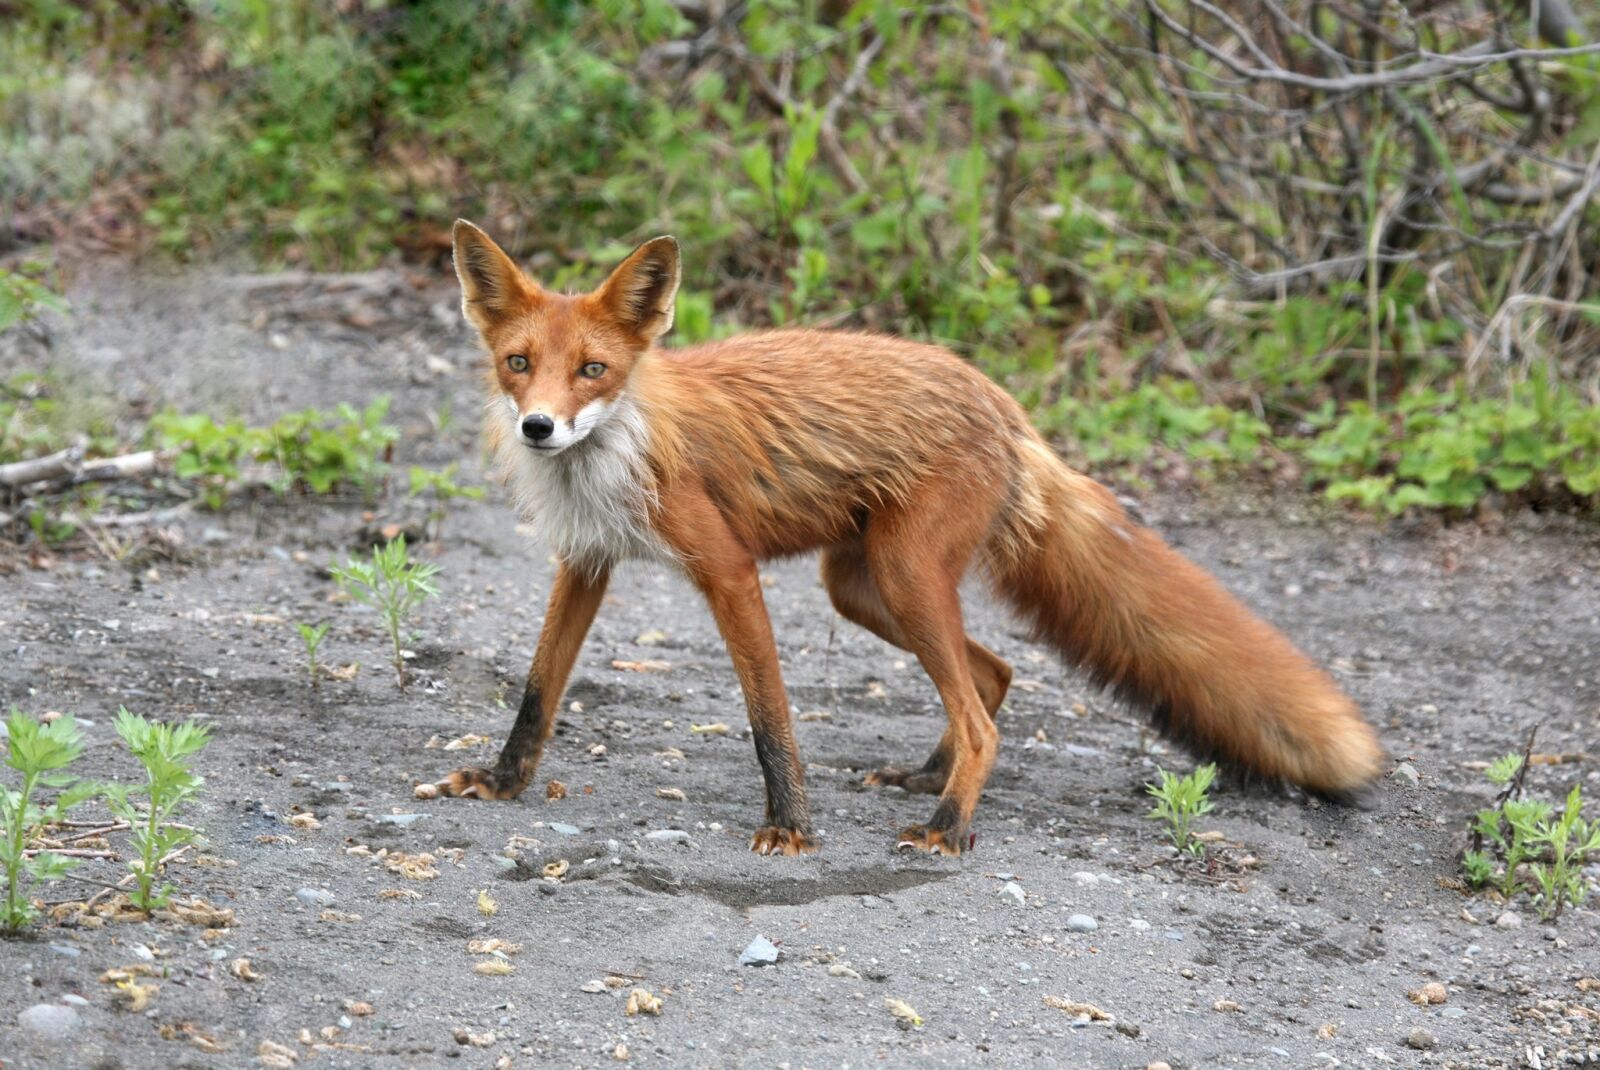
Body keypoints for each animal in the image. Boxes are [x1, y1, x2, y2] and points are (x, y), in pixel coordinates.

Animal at [419, 220, 1386, 856]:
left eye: (593, 370)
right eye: (518, 364)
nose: (540, 427)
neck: (618, 448)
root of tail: (1004, 406)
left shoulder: (727, 570)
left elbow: (770, 717)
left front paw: (790, 826)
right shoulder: (586, 561)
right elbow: (537, 693)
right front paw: (503, 782)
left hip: (905, 574)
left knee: (982, 712)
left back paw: (948, 825)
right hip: (863, 586)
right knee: (993, 676)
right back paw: (930, 778)